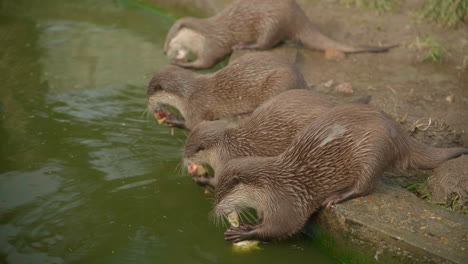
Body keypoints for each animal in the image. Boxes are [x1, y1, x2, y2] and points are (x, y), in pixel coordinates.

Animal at [146, 51, 308, 130]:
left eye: (148, 94)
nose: (147, 105)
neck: (188, 94)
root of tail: (301, 77)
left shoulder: (196, 107)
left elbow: (193, 125)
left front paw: (173, 119)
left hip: (278, 82)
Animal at [166, 0, 396, 69]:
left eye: (168, 41)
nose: (163, 52)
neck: (204, 35)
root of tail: (299, 17)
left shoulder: (211, 46)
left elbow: (205, 64)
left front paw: (178, 63)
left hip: (272, 22)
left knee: (266, 43)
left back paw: (244, 45)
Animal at [183, 88, 332, 186]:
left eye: (189, 152)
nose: (183, 161)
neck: (225, 146)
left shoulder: (224, 162)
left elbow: (217, 182)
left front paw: (201, 178)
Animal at [213, 102, 468, 241]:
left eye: (221, 195)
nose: (214, 210)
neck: (270, 187)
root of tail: (398, 130)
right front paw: (249, 225)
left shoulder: (286, 201)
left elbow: (281, 227)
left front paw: (243, 233)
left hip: (374, 152)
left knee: (365, 186)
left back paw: (336, 197)